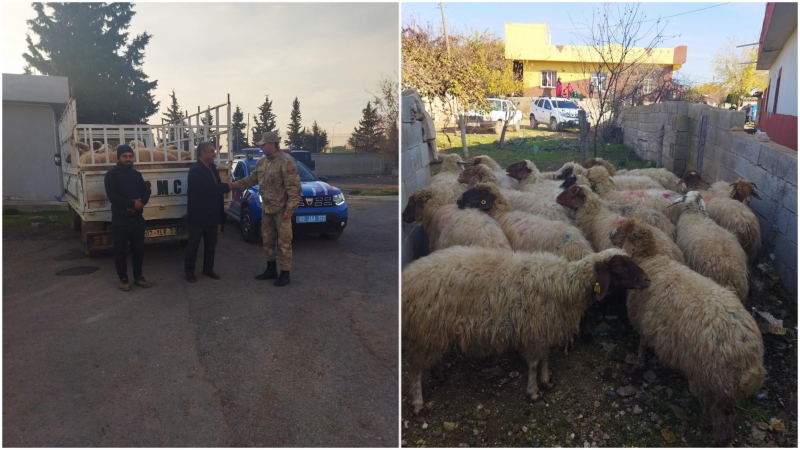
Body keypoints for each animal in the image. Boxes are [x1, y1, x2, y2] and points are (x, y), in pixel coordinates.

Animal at [404, 246, 652, 414]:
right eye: (620, 267)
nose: (648, 280)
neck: (567, 285)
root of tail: (409, 275)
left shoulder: (544, 328)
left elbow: (545, 358)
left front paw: (547, 381)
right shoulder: (534, 330)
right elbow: (533, 363)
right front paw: (533, 391)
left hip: (433, 331)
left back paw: (439, 374)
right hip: (426, 328)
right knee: (415, 370)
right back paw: (418, 404)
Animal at [608, 219, 764, 446]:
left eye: (621, 231)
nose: (610, 235)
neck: (650, 259)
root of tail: (750, 355)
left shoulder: (645, 319)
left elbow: (642, 345)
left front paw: (638, 365)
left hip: (714, 382)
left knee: (724, 420)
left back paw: (716, 439)